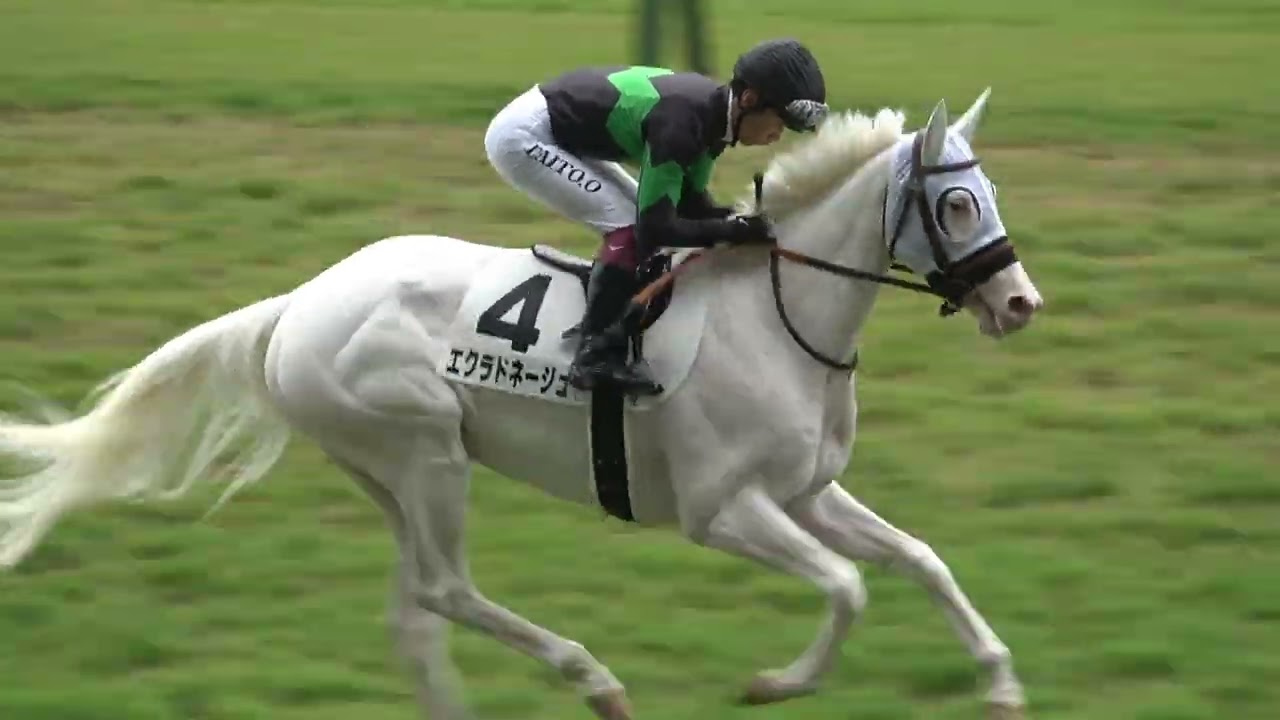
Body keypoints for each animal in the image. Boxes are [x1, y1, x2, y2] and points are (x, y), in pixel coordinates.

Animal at [0, 89, 1043, 720]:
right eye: (956, 205)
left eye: (989, 191)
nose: (1020, 303)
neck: (777, 316)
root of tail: (297, 303)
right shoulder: (723, 511)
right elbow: (848, 586)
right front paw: (778, 681)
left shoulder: (805, 493)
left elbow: (921, 559)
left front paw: (999, 681)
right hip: (424, 452)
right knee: (446, 591)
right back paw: (595, 677)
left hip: (388, 472)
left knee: (416, 613)